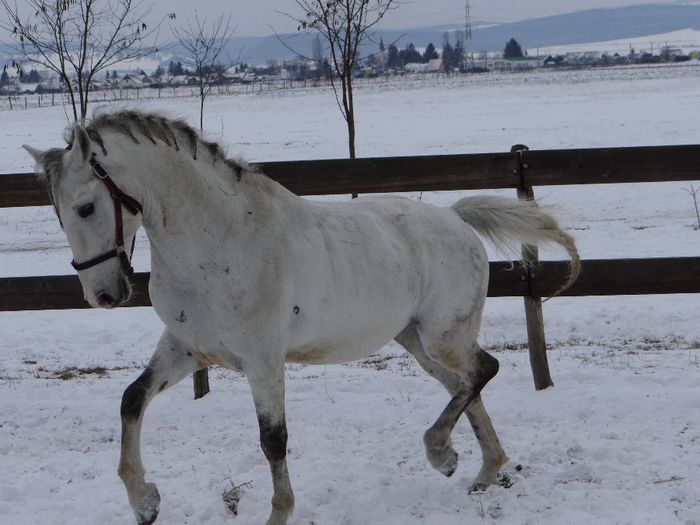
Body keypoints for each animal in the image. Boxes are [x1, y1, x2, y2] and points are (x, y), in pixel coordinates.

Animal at [23, 110, 580, 524]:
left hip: (443, 335)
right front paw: (145, 503)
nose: (103, 294)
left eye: (86, 207)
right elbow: (132, 399)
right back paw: (483, 471)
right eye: (59, 213)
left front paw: (278, 514)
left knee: (483, 371)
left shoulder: (263, 360)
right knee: (464, 385)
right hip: (417, 341)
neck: (216, 243)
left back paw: (443, 453)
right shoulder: (187, 348)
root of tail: (456, 219)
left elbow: (273, 440)